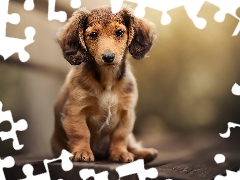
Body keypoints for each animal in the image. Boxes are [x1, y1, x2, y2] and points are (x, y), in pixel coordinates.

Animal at [51, 5, 158, 163]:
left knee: (131, 143)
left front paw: (120, 153)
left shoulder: (126, 114)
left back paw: (144, 152)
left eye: (119, 32)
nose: (108, 57)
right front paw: (82, 152)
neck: (108, 80)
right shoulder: (75, 111)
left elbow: (120, 136)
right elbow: (81, 133)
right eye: (93, 35)